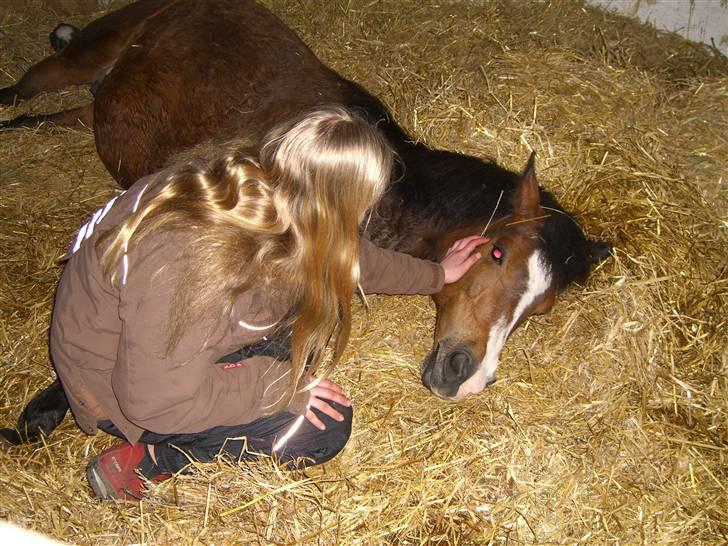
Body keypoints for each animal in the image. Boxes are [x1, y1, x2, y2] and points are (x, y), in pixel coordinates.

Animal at [0, 0, 608, 440]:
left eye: (540, 309)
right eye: (498, 253)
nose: (468, 379)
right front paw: (49, 404)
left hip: (92, 109)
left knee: (47, 117)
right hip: (74, 61)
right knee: (22, 89)